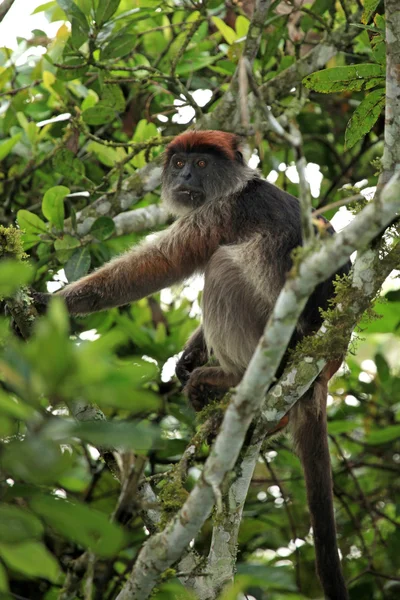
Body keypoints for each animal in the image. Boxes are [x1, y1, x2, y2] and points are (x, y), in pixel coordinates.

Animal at [34, 131, 350, 600]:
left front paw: (52, 302)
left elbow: (160, 264)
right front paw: (188, 356)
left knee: (222, 264)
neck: (238, 185)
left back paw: (234, 380)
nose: (183, 177)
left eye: (201, 164)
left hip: (270, 335)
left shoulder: (220, 211)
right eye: (179, 162)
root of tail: (323, 361)